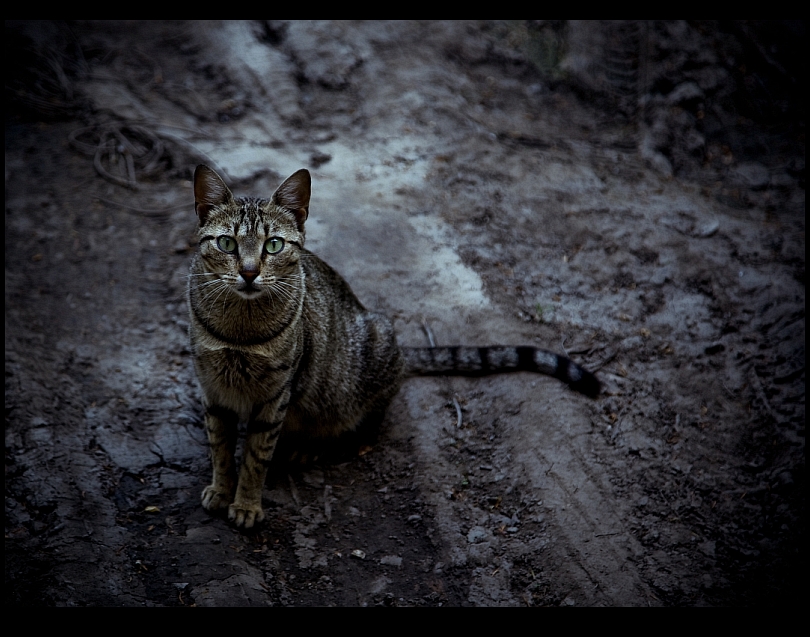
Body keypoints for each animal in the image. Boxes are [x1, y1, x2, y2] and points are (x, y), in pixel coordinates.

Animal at [186, 163, 596, 528]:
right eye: (226, 243)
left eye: (273, 245)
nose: (249, 272)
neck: (240, 332)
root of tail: (399, 353)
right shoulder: (212, 387)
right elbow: (221, 448)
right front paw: (222, 490)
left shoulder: (275, 396)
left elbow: (256, 458)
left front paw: (246, 504)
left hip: (365, 364)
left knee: (366, 423)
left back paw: (313, 445)